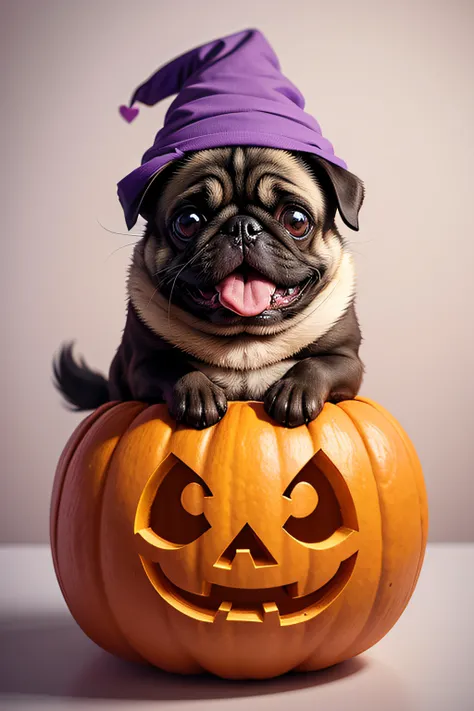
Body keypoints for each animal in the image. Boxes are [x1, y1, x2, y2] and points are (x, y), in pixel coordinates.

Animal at [52, 146, 362, 428]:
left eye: (296, 220)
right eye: (188, 222)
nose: (242, 227)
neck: (244, 342)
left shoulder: (348, 361)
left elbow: (319, 364)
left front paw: (295, 393)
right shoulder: (139, 365)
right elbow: (170, 365)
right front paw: (197, 396)